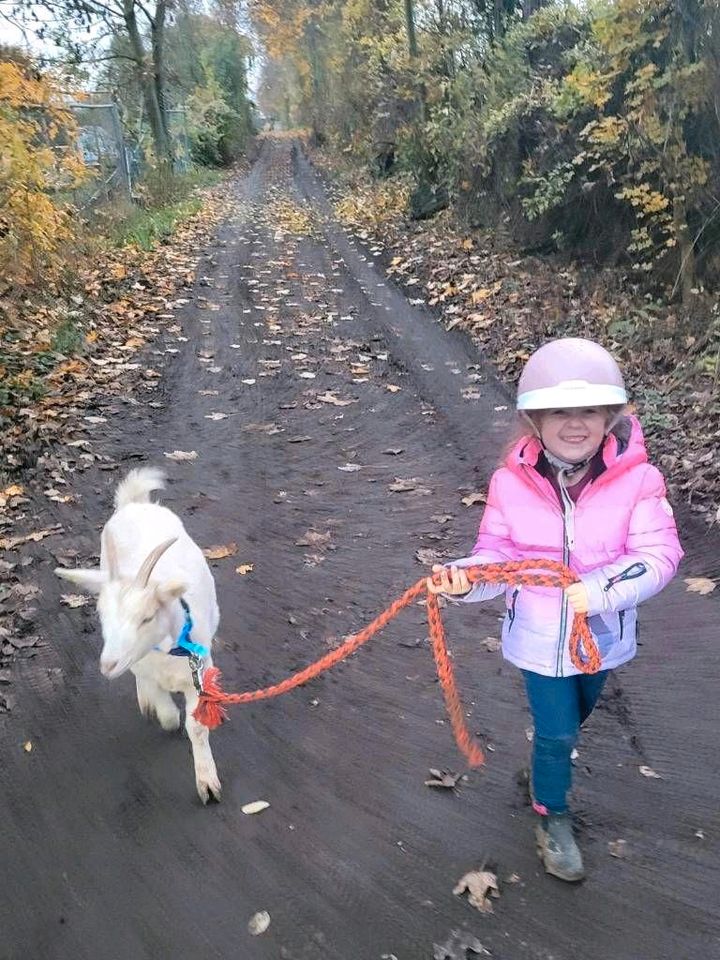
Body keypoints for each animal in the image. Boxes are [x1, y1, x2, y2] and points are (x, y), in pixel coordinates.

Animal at [56, 464, 221, 804]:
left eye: (147, 617)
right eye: (101, 616)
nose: (107, 666)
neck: (172, 648)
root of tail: (134, 503)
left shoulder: (199, 673)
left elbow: (197, 727)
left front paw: (207, 783)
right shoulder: (141, 665)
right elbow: (169, 717)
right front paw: (163, 712)